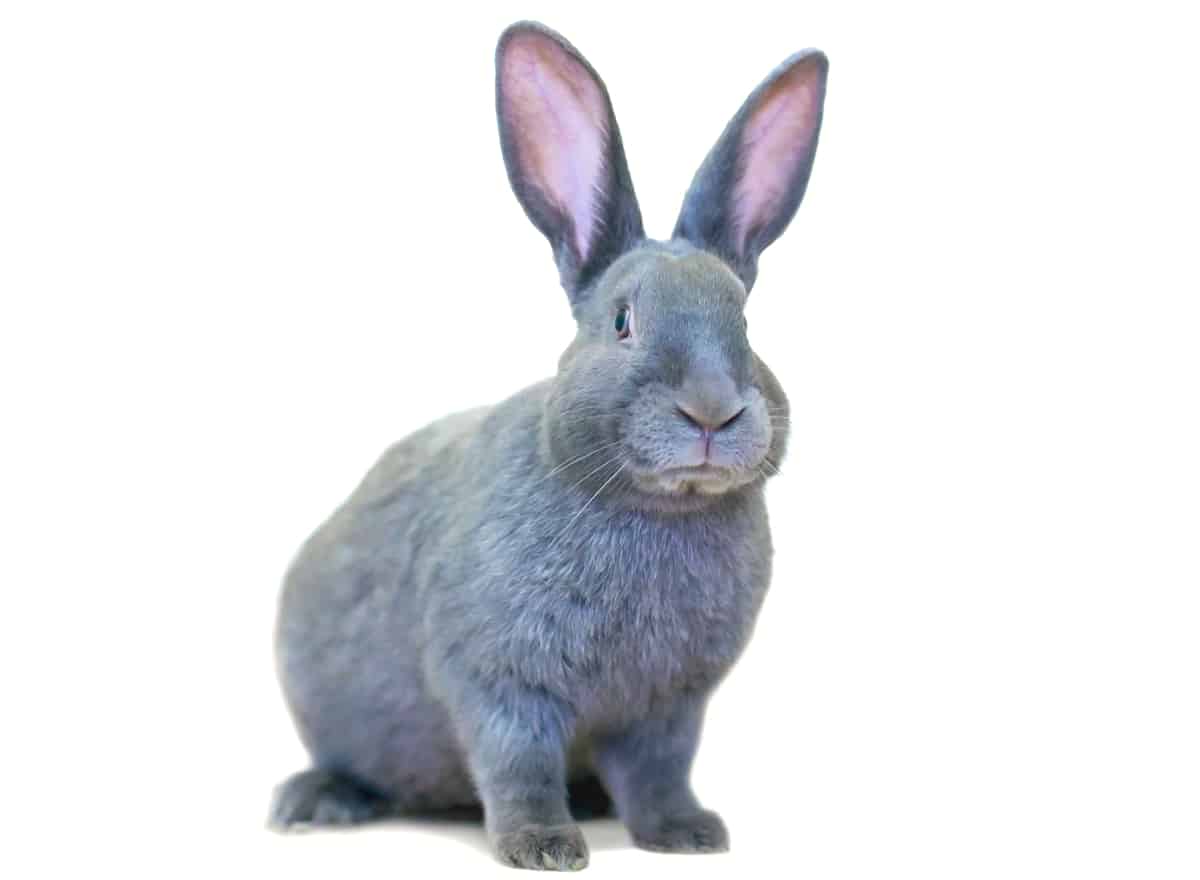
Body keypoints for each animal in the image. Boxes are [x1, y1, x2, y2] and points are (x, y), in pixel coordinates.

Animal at [269, 20, 828, 871]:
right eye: (622, 321)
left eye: (743, 320)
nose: (712, 411)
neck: (655, 512)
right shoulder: (502, 683)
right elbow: (518, 765)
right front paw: (543, 847)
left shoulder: (668, 707)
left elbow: (660, 773)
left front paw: (687, 834)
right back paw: (315, 803)